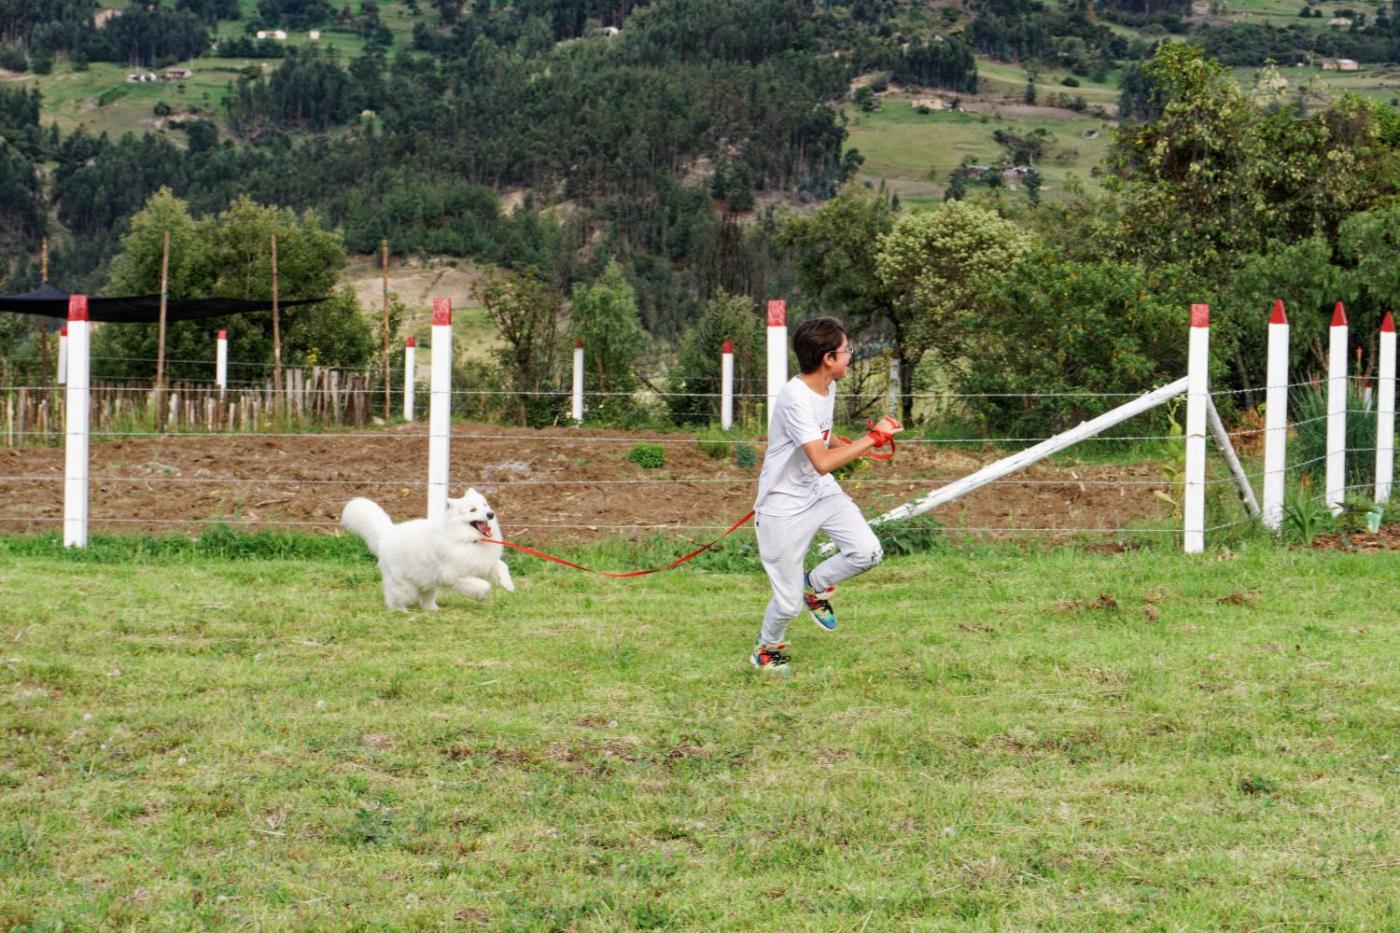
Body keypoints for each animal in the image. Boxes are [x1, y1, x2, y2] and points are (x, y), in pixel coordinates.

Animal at [340, 489, 516, 610]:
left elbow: (502, 566)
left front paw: (508, 585)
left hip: (428, 581)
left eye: (485, 505)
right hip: (405, 585)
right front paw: (481, 596)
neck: (467, 539)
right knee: (393, 598)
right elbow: (484, 586)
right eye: (473, 510)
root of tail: (387, 533)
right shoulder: (454, 576)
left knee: (425, 599)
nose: (490, 514)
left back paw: (433, 609)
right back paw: (400, 610)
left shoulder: (485, 563)